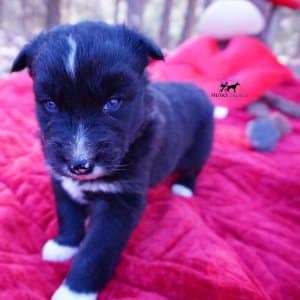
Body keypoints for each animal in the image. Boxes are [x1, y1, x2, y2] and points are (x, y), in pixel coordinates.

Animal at [11, 21, 213, 300]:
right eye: (50, 104)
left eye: (113, 103)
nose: (79, 165)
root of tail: (197, 89)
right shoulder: (62, 182)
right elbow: (68, 214)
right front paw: (65, 245)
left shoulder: (120, 203)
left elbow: (96, 249)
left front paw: (74, 291)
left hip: (200, 146)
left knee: (194, 168)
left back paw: (184, 187)